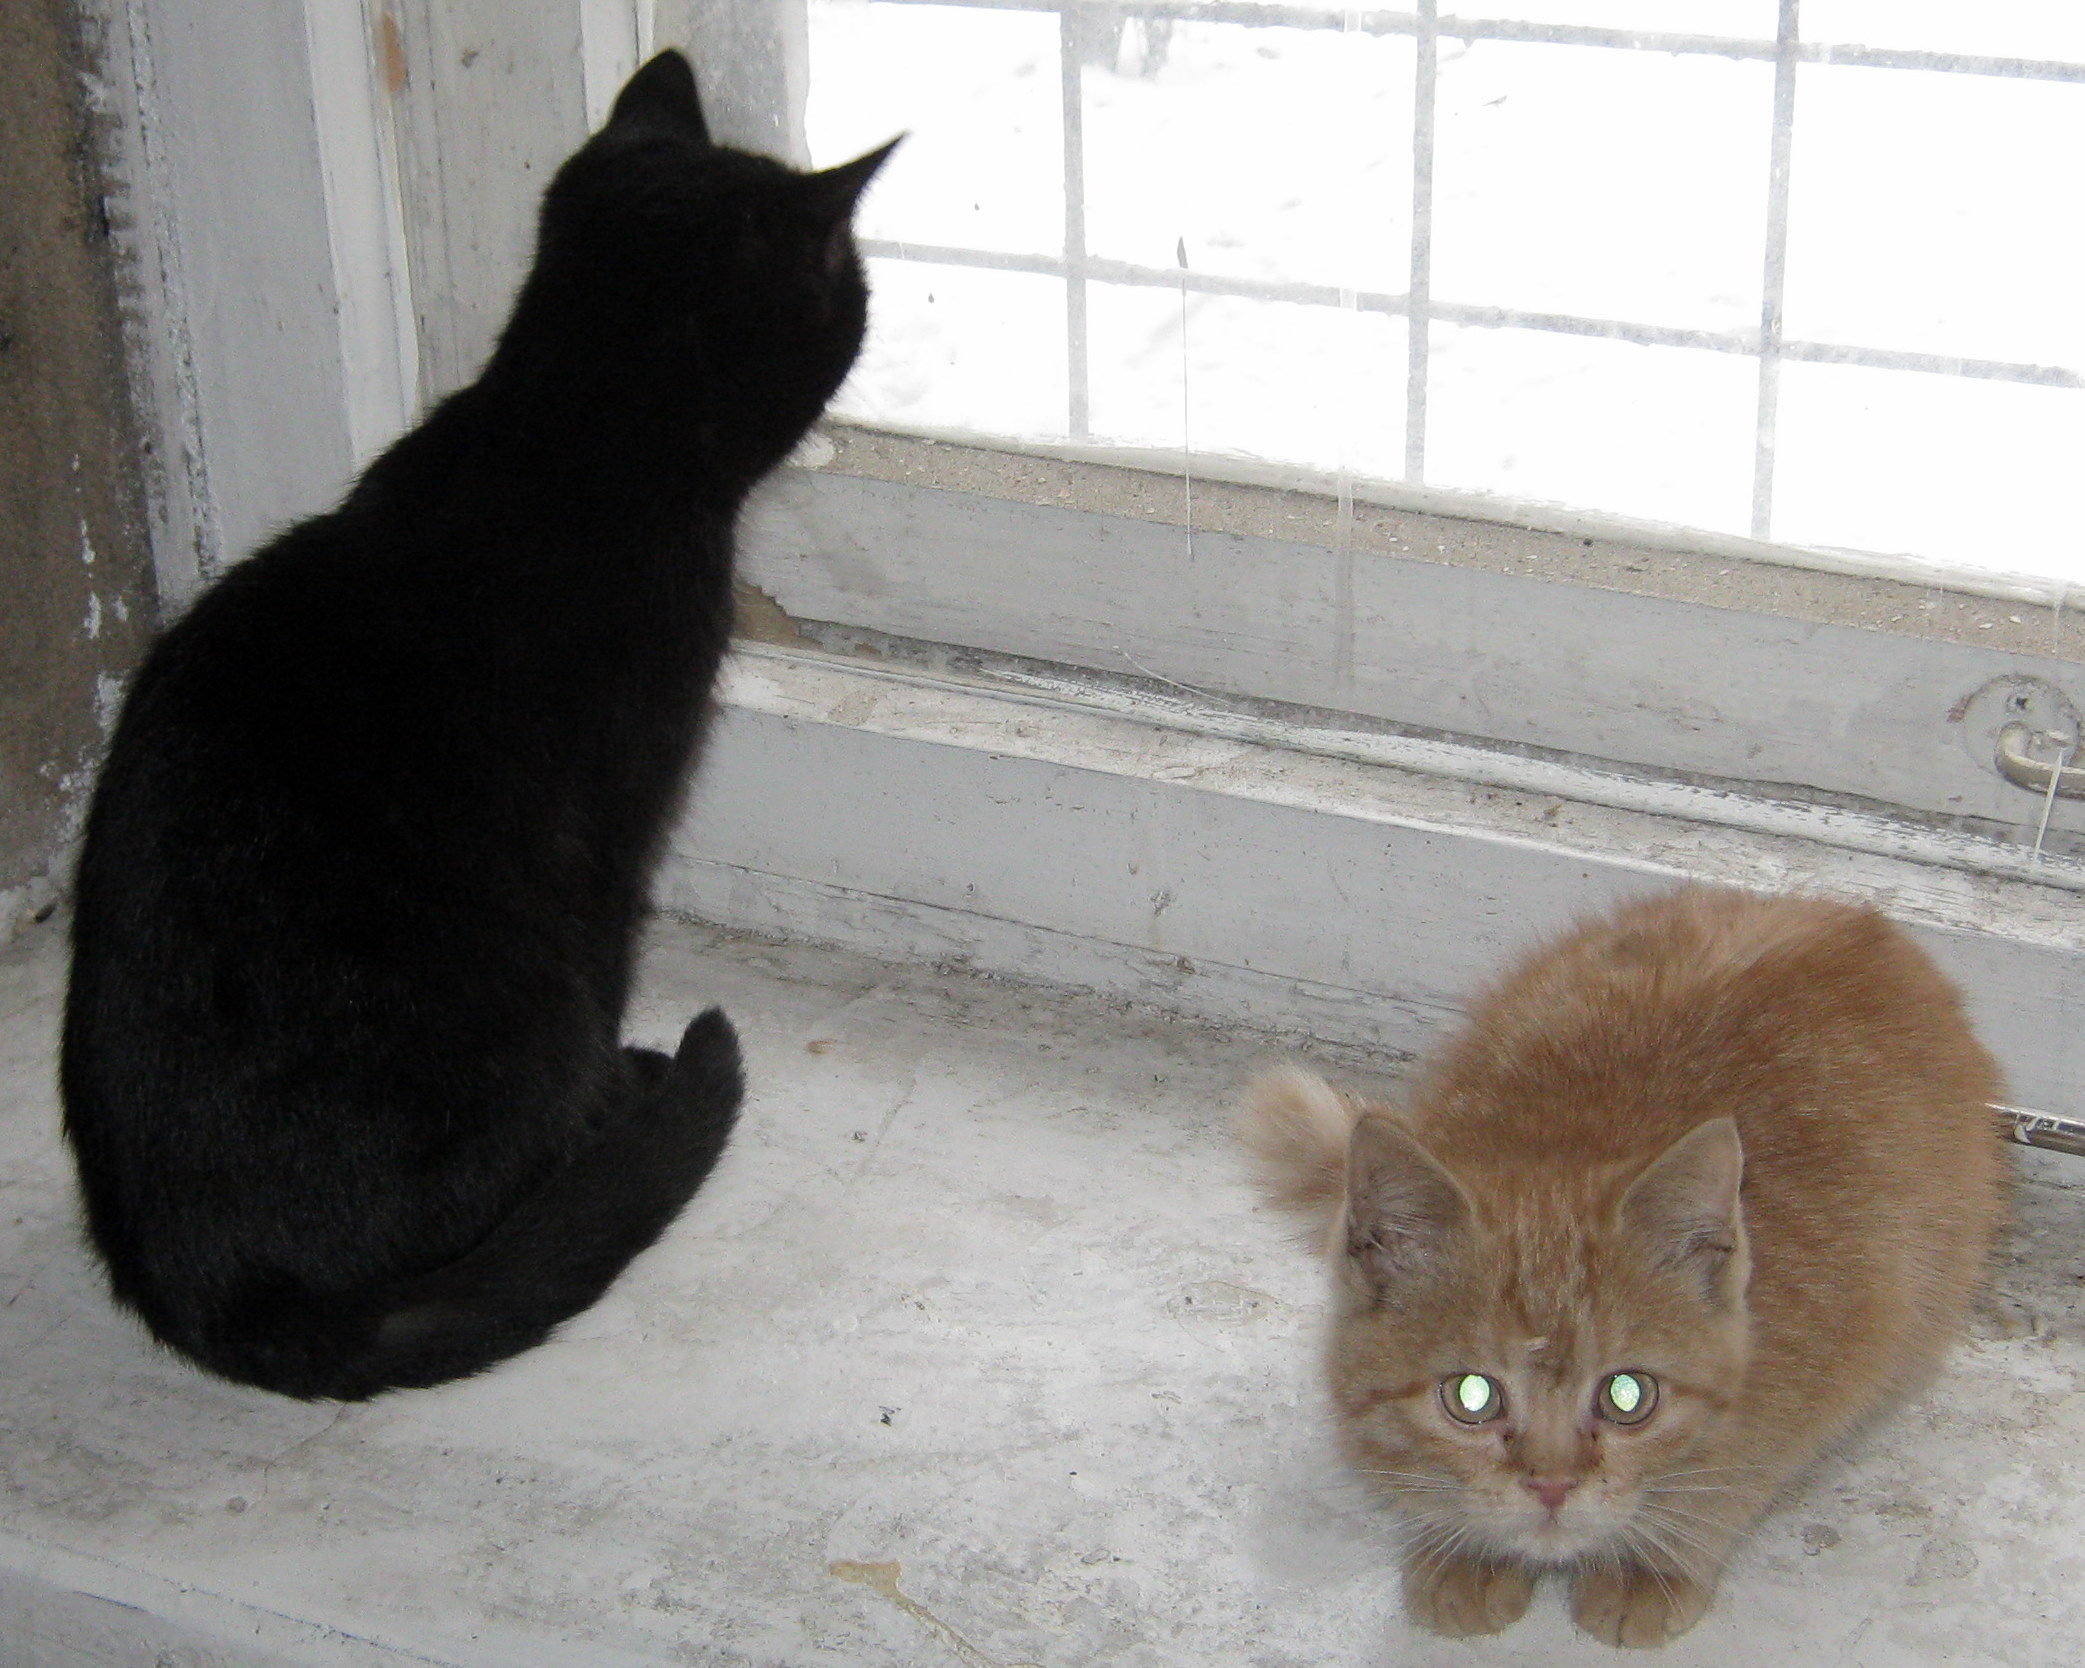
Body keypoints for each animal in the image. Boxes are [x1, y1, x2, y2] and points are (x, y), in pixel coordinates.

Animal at [60, 51, 895, 1401]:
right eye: (850, 288)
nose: (872, 303)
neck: (560, 433)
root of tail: (223, 1300)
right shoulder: (615, 826)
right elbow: (614, 957)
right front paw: (621, 1089)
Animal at [1242, 887, 2007, 1647]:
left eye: (1628, 1395)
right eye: (1471, 1396)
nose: (1551, 1485)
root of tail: (1854, 918)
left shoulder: (1846, 1342)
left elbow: (1732, 1483)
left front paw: (1652, 1563)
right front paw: (1466, 1548)